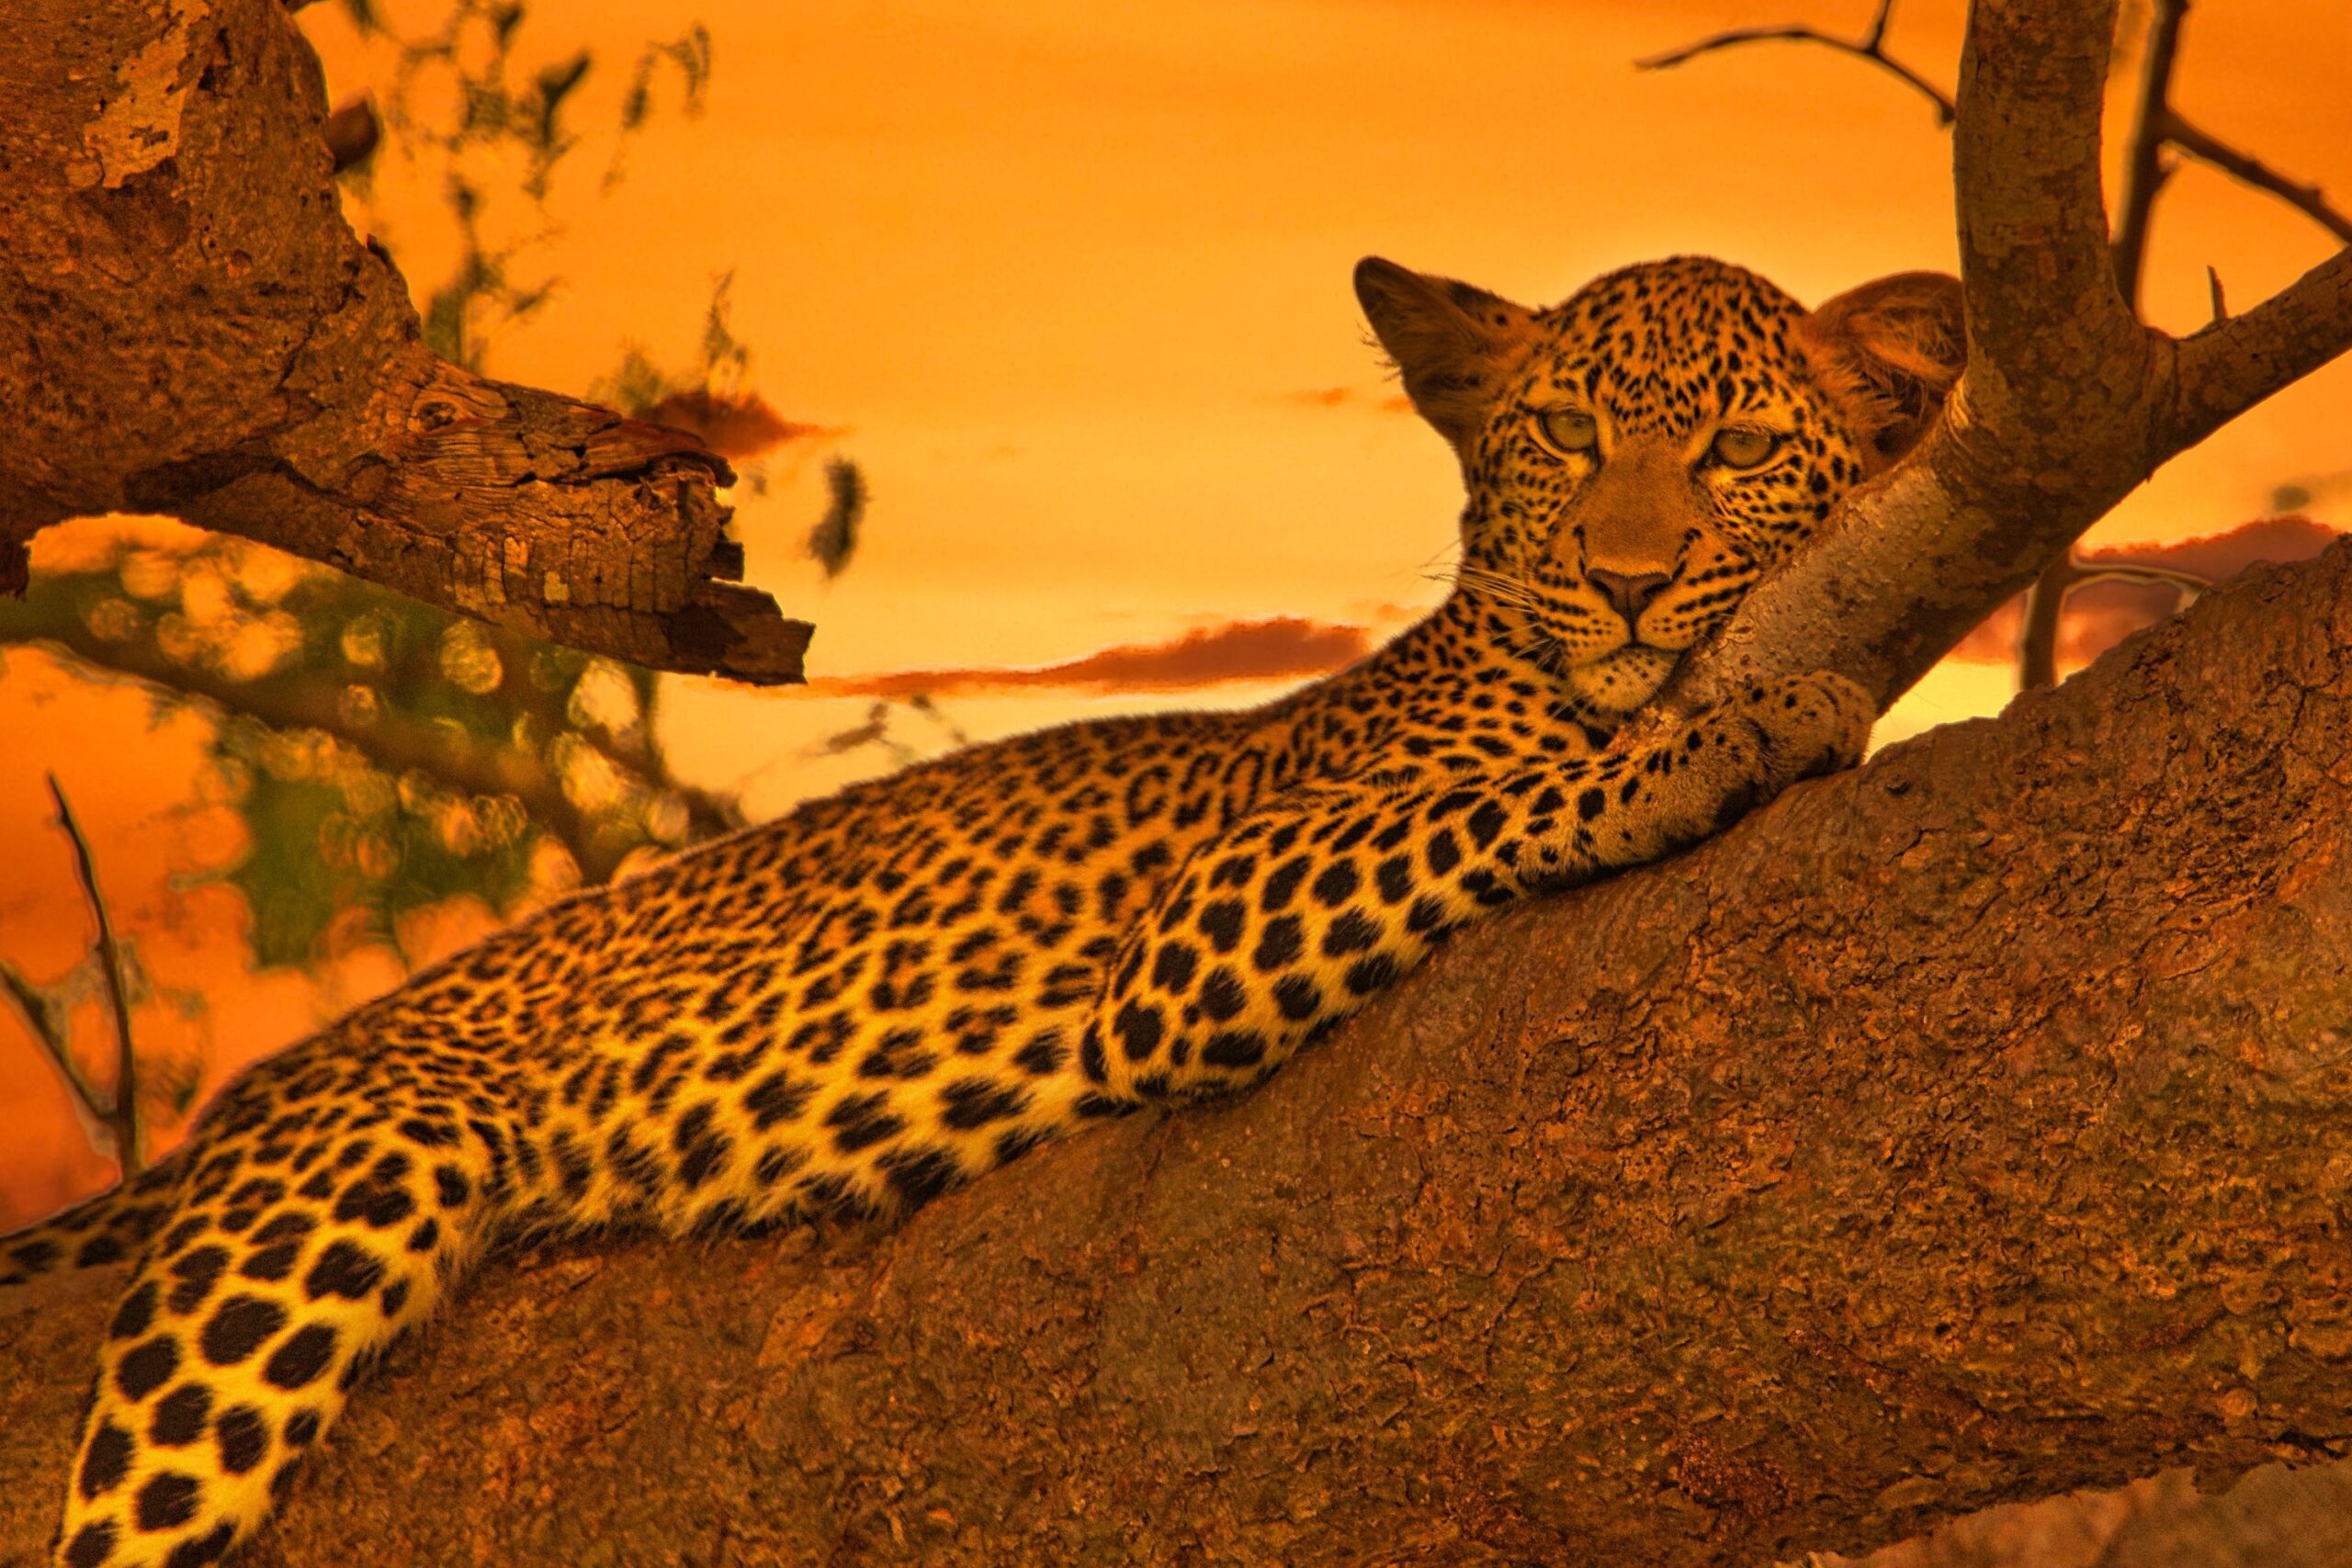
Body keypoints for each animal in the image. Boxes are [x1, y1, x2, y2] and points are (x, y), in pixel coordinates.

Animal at [4, 251, 1964, 1568]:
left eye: (1735, 452)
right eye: (1564, 433)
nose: (1626, 584)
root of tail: (257, 1089)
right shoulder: (1204, 920)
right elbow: (1496, 797)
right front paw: (1724, 733)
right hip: (317, 1211)